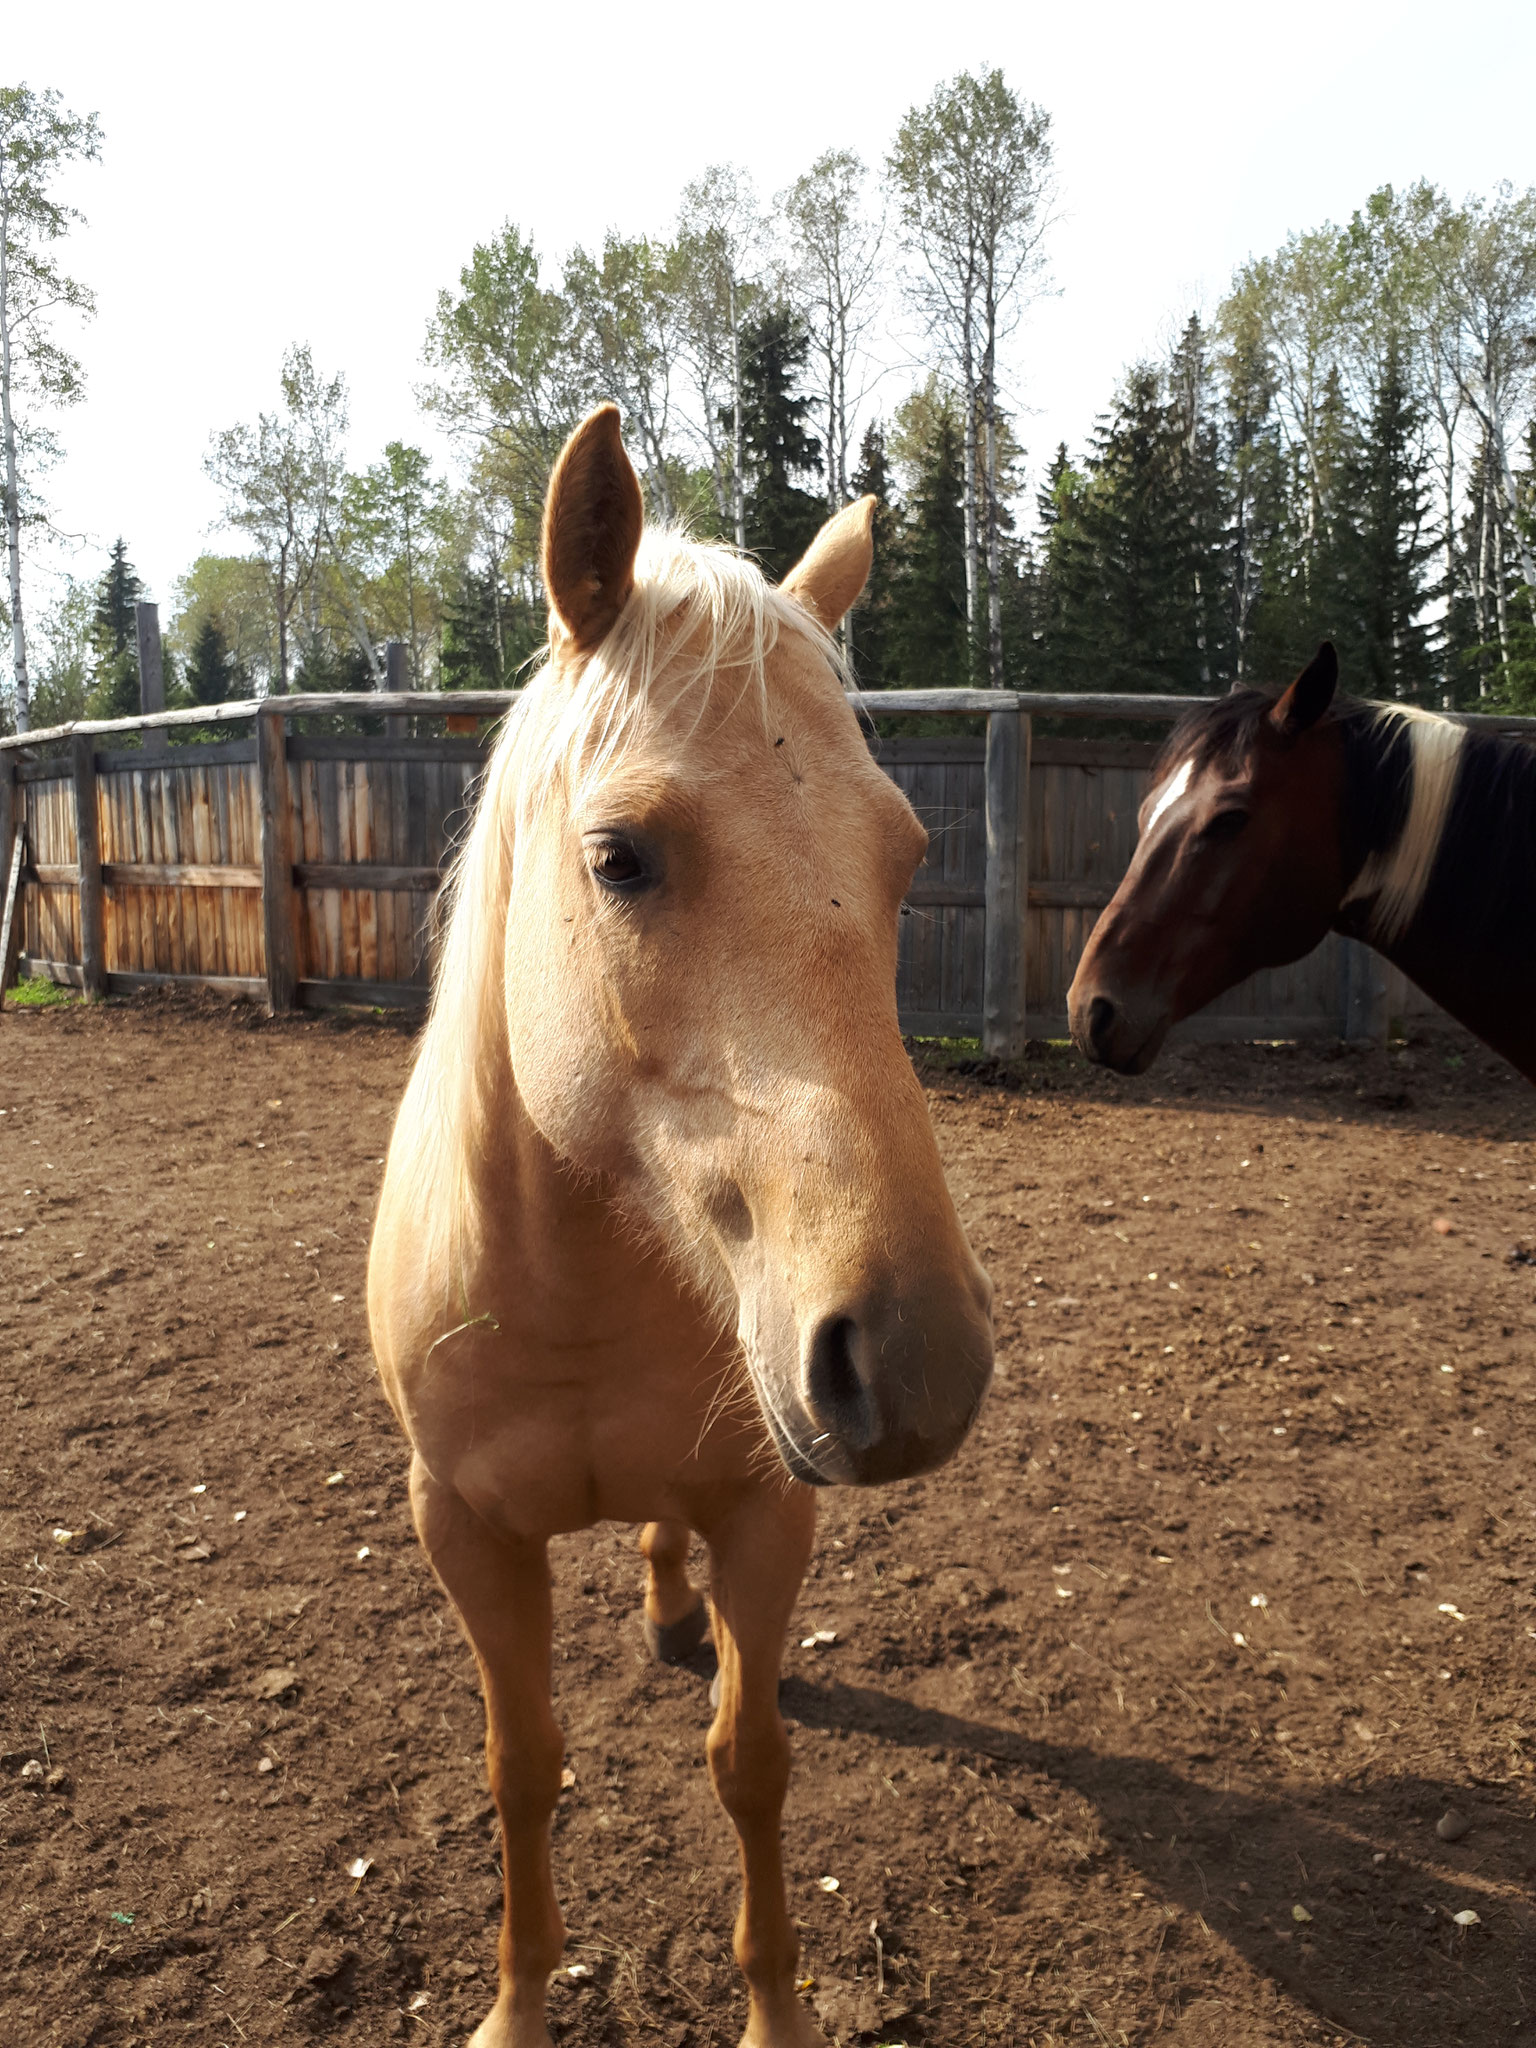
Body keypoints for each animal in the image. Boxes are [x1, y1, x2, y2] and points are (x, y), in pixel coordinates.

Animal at [372, 403, 999, 2048]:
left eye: (909, 854)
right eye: (621, 857)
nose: (916, 1361)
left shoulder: (769, 1512)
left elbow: (751, 1760)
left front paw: (776, 2011)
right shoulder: (462, 1529)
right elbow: (521, 1768)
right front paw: (517, 2006)